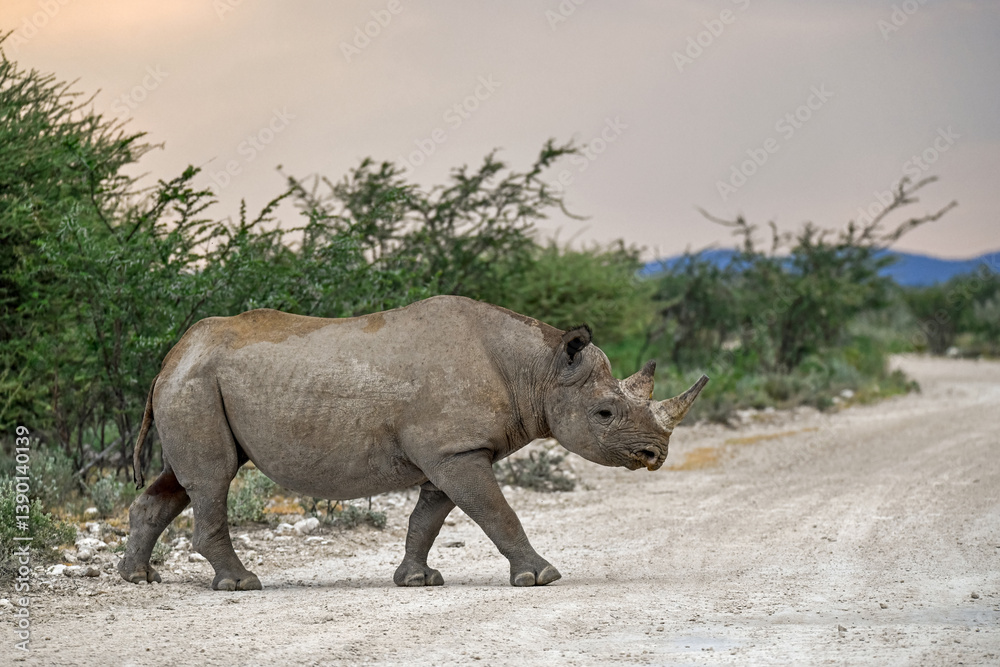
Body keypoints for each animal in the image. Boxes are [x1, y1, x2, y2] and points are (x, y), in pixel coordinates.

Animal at [119, 295, 708, 590]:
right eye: (605, 413)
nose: (655, 456)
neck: (538, 371)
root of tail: (172, 354)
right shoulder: (456, 450)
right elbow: (497, 511)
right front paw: (541, 578)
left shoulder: (454, 451)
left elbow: (431, 517)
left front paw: (418, 580)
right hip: (196, 382)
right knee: (213, 479)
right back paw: (242, 585)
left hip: (194, 381)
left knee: (182, 481)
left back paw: (140, 578)